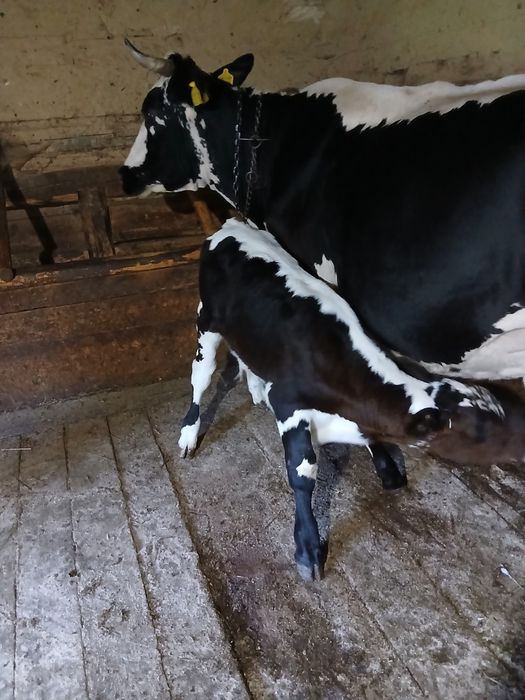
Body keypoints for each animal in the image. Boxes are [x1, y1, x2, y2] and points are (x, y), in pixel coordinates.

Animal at [179, 218, 525, 580]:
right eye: (480, 431)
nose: (523, 439)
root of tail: (232, 225)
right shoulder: (289, 407)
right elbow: (302, 473)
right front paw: (309, 548)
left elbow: (378, 452)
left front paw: (388, 469)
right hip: (207, 321)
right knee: (201, 376)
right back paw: (189, 433)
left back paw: (256, 387)